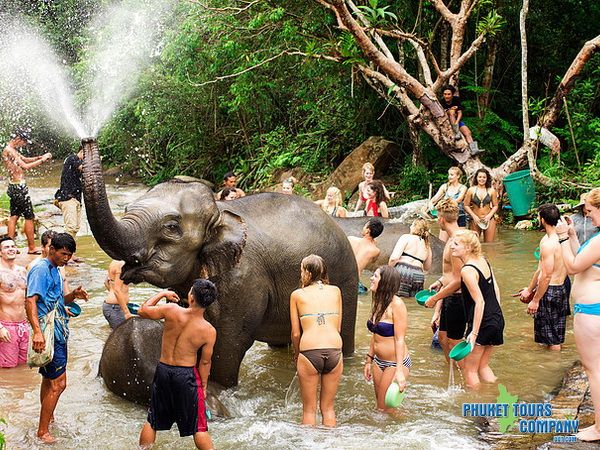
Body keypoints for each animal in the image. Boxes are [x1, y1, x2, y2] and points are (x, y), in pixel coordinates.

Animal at [81, 139, 358, 392]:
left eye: (171, 227)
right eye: (126, 208)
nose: (87, 140)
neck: (219, 213)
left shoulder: (243, 278)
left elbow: (229, 342)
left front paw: (220, 388)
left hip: (344, 279)